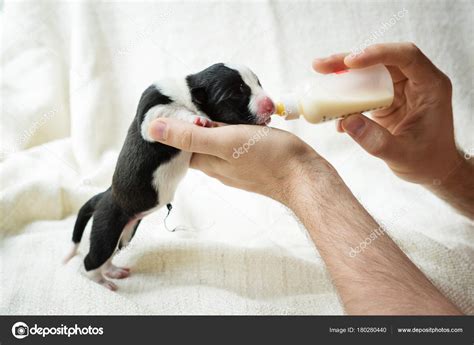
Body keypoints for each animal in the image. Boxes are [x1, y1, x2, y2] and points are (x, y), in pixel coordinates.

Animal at [65, 63, 274, 288]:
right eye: (237, 92)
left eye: (258, 83)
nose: (271, 106)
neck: (189, 90)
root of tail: (104, 195)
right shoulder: (151, 115)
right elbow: (173, 111)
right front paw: (197, 119)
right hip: (107, 226)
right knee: (93, 258)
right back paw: (102, 282)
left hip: (127, 232)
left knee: (110, 255)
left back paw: (112, 272)